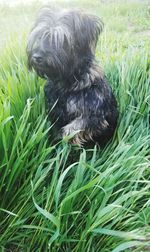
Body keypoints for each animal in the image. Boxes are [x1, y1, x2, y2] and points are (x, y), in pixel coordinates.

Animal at [26, 6, 118, 146]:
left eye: (61, 40)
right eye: (40, 36)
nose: (37, 57)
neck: (66, 80)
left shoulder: (94, 117)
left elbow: (71, 129)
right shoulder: (54, 112)